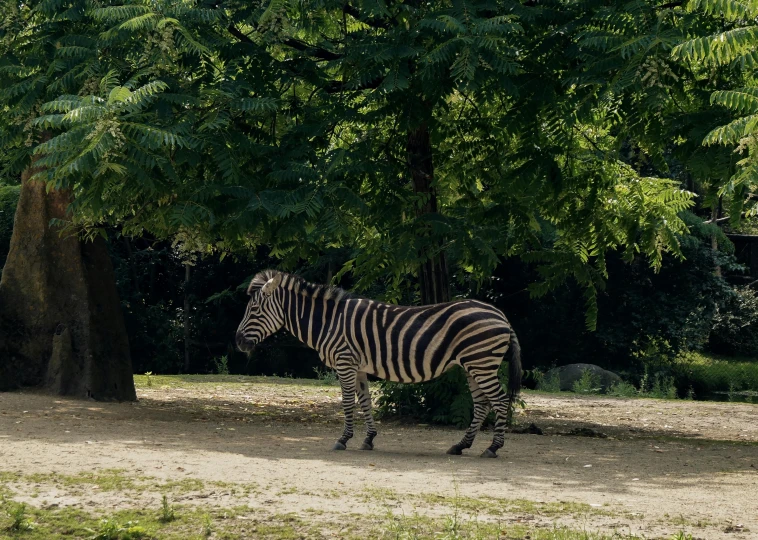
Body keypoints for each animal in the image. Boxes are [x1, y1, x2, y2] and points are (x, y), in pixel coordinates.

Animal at [238, 272, 524, 458]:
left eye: (254, 310)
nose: (238, 341)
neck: (329, 321)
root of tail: (502, 316)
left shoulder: (345, 362)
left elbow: (347, 403)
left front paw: (343, 439)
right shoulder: (358, 366)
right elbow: (365, 402)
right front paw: (368, 439)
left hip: (482, 363)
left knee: (499, 401)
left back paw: (493, 448)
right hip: (473, 365)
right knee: (482, 404)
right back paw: (461, 446)